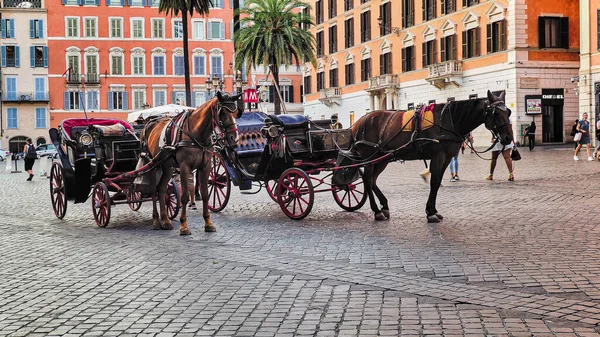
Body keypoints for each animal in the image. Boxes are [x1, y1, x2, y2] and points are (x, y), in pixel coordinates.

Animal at [142, 91, 241, 234]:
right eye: (222, 113)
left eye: (236, 112)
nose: (234, 138)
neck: (196, 133)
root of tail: (150, 123)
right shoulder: (185, 168)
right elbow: (184, 196)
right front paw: (183, 226)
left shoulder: (205, 167)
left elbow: (205, 194)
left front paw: (208, 223)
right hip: (154, 165)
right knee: (154, 190)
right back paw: (156, 220)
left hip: (167, 167)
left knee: (161, 188)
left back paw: (165, 220)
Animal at [336, 90, 512, 220]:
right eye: (496, 113)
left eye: (508, 112)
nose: (508, 138)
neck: (449, 120)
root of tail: (359, 122)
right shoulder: (438, 155)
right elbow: (434, 182)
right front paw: (431, 212)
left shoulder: (448, 157)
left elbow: (438, 181)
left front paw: (433, 209)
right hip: (370, 157)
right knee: (367, 179)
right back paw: (377, 211)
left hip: (383, 158)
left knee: (372, 180)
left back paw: (384, 206)